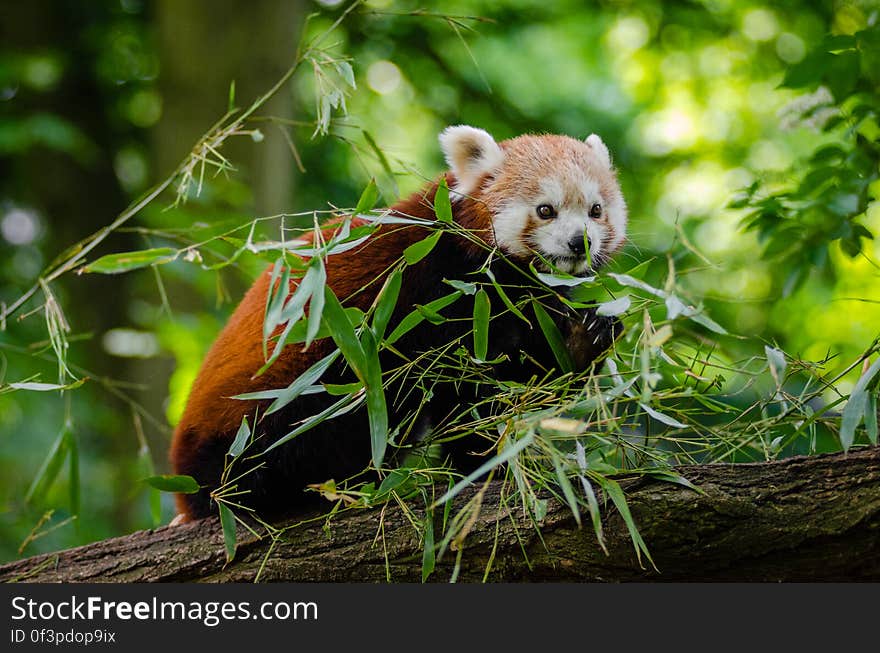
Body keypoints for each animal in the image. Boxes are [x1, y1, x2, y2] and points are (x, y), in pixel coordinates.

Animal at [170, 125, 624, 520]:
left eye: (595, 210)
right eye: (546, 210)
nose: (579, 242)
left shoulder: (519, 308)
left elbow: (531, 370)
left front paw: (585, 339)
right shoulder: (434, 296)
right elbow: (461, 395)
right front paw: (483, 463)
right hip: (280, 398)